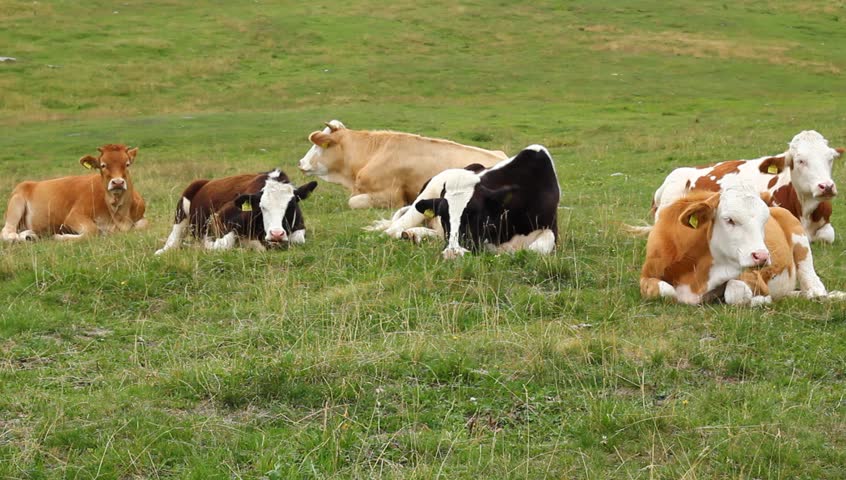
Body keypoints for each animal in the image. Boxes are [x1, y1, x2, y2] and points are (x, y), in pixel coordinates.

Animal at [1, 144, 147, 242]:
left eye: (127, 164)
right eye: (103, 165)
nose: (117, 182)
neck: (119, 215)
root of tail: (29, 183)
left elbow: (143, 226)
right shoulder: (74, 215)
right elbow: (92, 231)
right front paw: (58, 236)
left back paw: (30, 235)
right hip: (16, 203)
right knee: (6, 231)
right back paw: (17, 237)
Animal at [154, 169, 317, 254]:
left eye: (291, 206)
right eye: (262, 207)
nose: (276, 234)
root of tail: (205, 182)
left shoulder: (299, 226)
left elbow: (298, 240)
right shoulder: (219, 218)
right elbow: (222, 244)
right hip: (181, 212)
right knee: (174, 239)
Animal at [640, 187, 838, 305]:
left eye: (765, 220)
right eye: (729, 220)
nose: (762, 256)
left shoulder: (752, 277)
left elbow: (736, 292)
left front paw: (761, 300)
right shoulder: (647, 275)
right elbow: (665, 291)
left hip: (799, 238)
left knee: (812, 280)